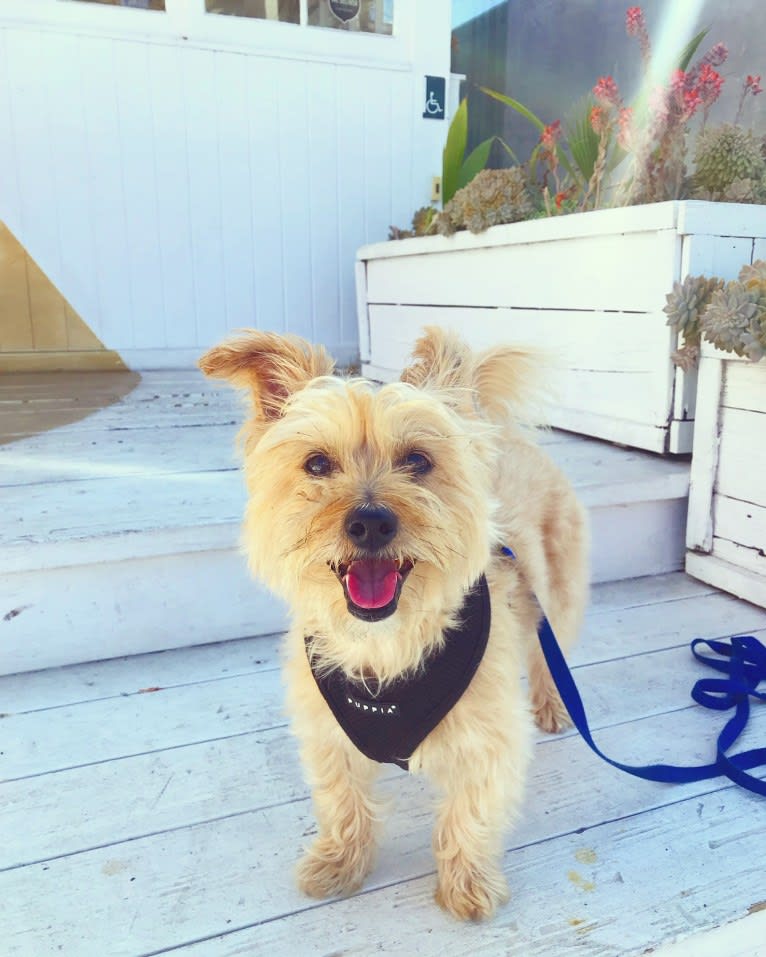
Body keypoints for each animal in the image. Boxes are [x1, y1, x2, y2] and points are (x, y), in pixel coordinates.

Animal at [201, 326, 592, 920]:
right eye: (317, 464)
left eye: (418, 460)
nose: (370, 522)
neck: (385, 644)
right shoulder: (327, 737)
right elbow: (341, 801)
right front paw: (339, 863)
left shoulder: (489, 742)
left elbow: (468, 816)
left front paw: (467, 884)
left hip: (559, 593)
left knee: (550, 652)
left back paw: (551, 702)